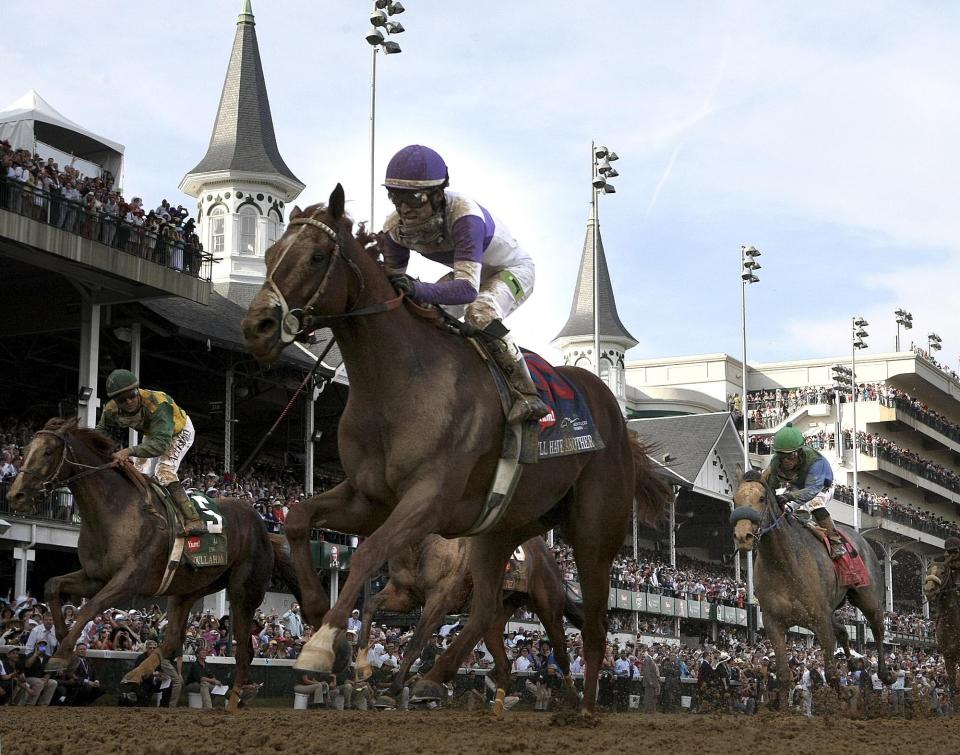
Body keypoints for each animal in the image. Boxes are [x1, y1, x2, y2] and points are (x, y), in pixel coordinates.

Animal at [6, 420, 300, 708]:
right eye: (26, 448)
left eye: (48, 452)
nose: (15, 495)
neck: (116, 511)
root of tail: (266, 530)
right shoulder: (95, 578)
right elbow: (52, 585)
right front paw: (61, 640)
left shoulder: (129, 580)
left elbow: (90, 606)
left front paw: (62, 653)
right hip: (188, 588)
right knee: (175, 638)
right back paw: (135, 674)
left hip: (243, 592)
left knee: (244, 651)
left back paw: (234, 701)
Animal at [358, 536, 584, 712]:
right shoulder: (405, 594)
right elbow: (370, 605)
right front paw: (362, 665)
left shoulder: (440, 598)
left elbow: (416, 642)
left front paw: (395, 688)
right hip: (502, 609)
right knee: (503, 662)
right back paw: (496, 708)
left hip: (548, 606)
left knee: (561, 654)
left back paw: (574, 700)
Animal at [736, 470, 892, 712]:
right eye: (735, 499)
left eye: (761, 499)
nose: (742, 536)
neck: (784, 562)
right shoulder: (774, 623)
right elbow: (783, 674)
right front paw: (783, 711)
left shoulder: (819, 619)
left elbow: (832, 673)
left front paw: (846, 696)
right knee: (843, 630)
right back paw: (853, 661)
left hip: (868, 597)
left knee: (876, 627)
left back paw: (884, 673)